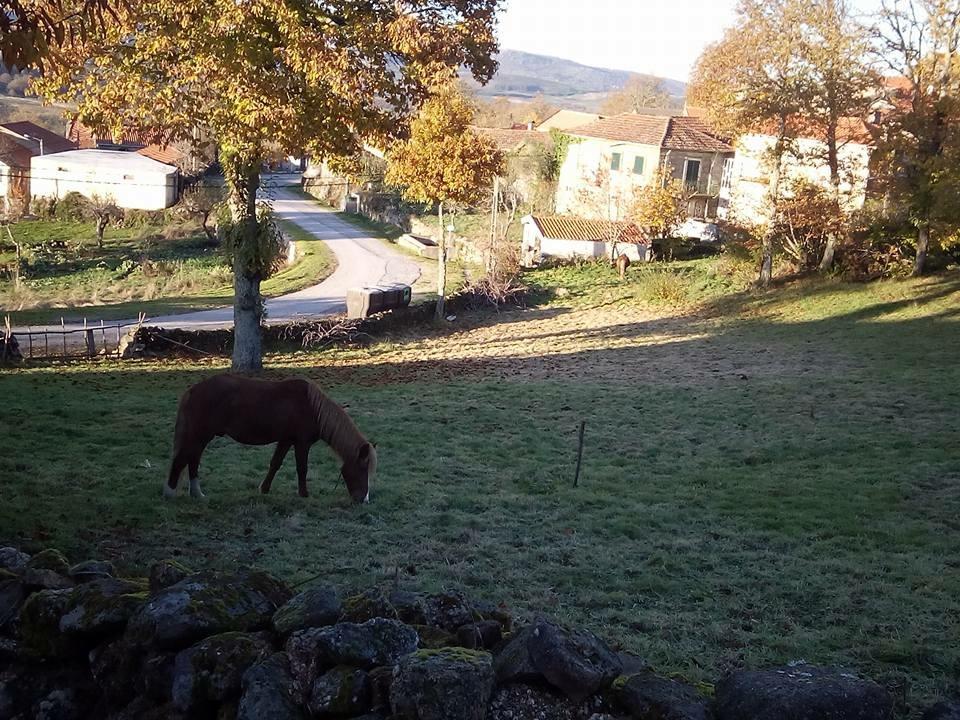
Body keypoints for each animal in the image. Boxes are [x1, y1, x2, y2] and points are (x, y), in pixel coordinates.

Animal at [165, 374, 376, 504]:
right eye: (362, 469)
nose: (363, 500)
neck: (312, 408)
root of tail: (193, 390)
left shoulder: (286, 440)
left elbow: (275, 464)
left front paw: (264, 489)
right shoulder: (301, 443)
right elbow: (302, 468)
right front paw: (304, 494)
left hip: (201, 437)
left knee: (192, 460)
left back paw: (197, 495)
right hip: (199, 434)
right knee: (182, 460)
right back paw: (170, 493)